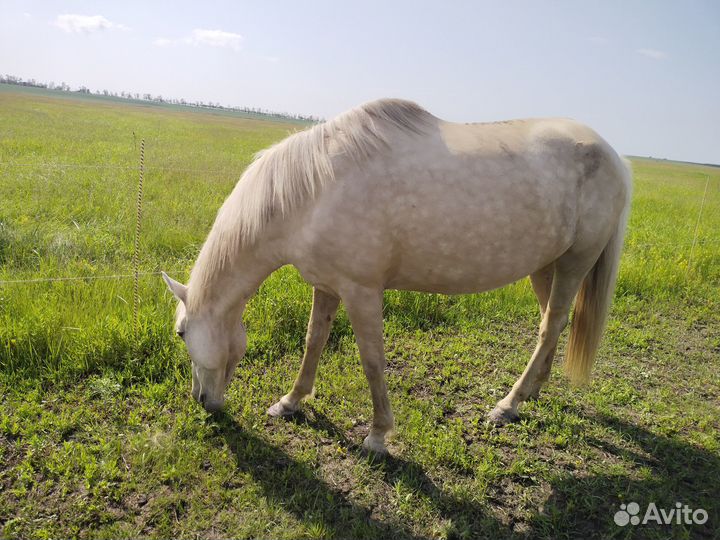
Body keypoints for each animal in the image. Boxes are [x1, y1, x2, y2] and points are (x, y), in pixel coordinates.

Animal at [162, 98, 631, 454]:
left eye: (182, 334)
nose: (202, 401)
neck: (313, 192)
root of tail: (614, 157)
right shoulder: (327, 284)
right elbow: (314, 341)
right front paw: (291, 402)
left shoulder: (362, 291)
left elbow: (372, 361)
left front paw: (376, 436)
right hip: (545, 265)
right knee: (551, 322)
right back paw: (532, 391)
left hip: (575, 262)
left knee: (551, 325)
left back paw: (508, 405)